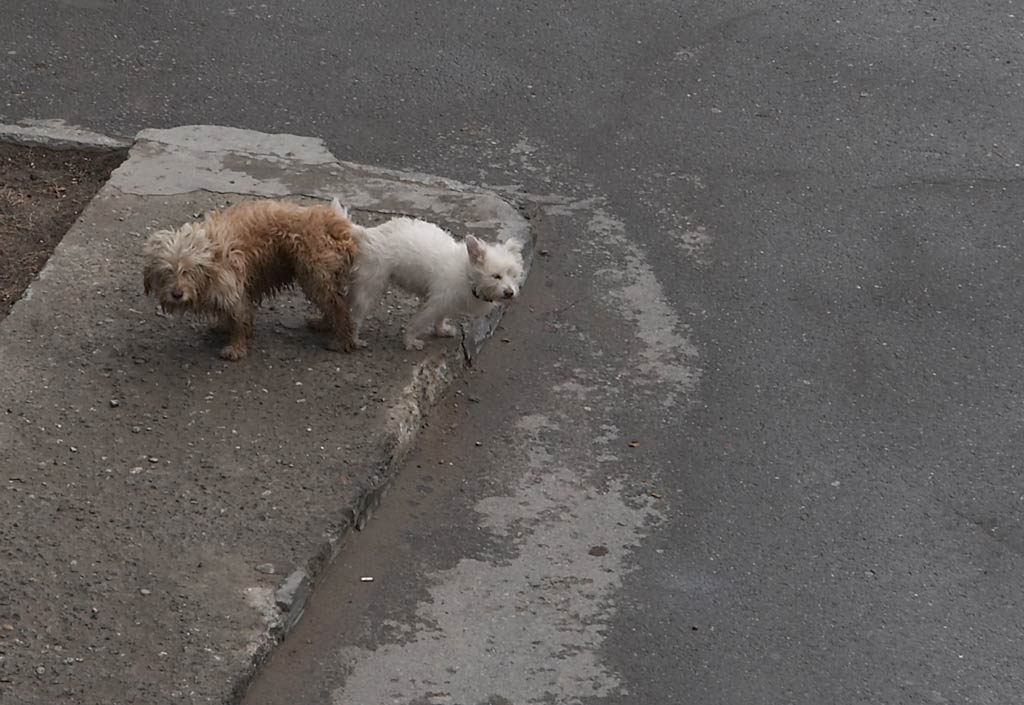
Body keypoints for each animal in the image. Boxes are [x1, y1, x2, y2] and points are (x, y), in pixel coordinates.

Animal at [140, 199, 356, 360]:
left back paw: (342, 340)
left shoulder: (232, 289)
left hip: (314, 276)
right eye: (166, 272)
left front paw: (235, 348)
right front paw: (224, 327)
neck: (210, 256)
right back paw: (324, 323)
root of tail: (331, 221)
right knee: (332, 303)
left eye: (188, 271)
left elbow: (238, 319)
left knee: (338, 305)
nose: (177, 294)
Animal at [335, 198, 524, 352]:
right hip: (370, 287)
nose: (510, 293)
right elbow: (417, 323)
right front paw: (410, 342)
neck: (467, 275)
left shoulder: (446, 304)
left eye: (513, 275)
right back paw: (355, 340)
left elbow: (440, 318)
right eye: (496, 276)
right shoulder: (434, 303)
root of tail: (368, 234)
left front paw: (441, 331)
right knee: (356, 317)